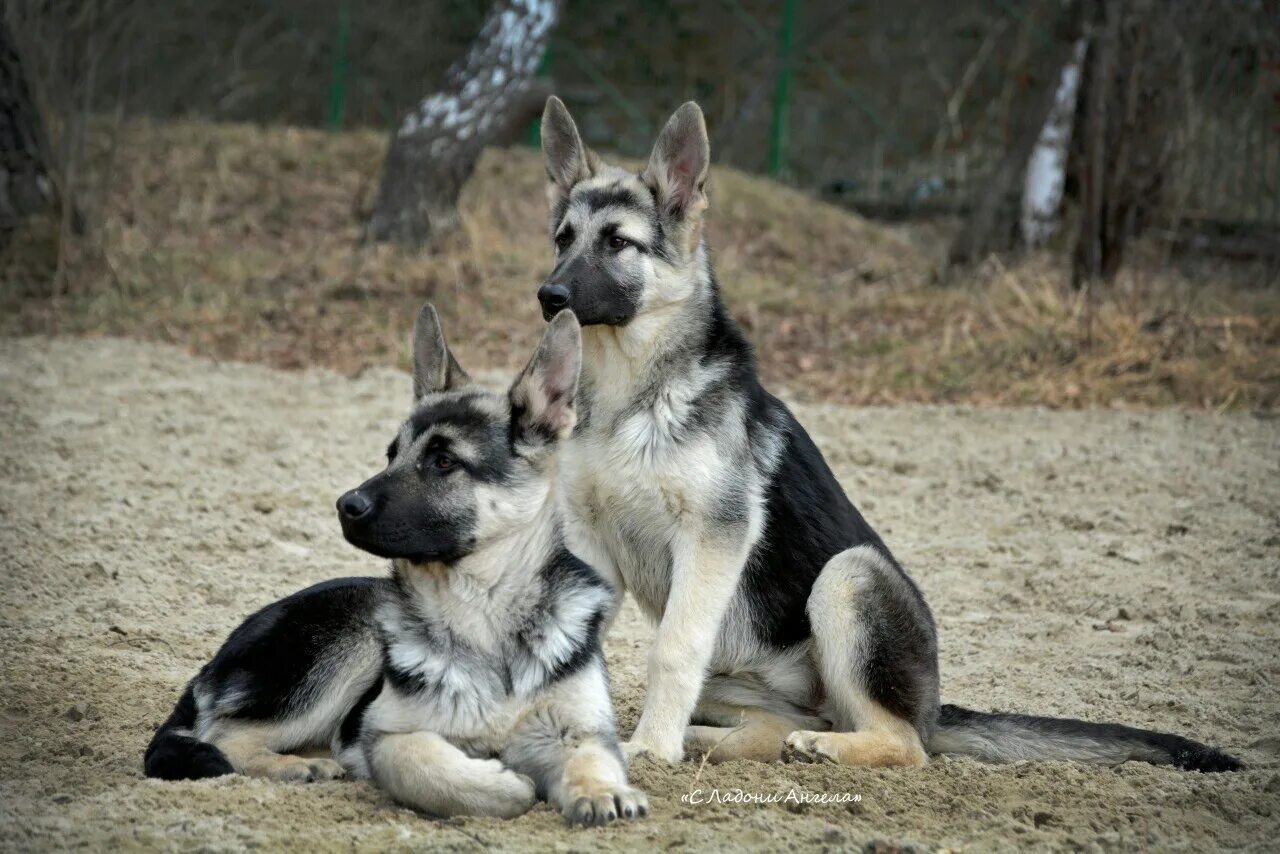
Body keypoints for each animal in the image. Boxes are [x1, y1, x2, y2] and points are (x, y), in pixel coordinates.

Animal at [145, 307, 650, 829]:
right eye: (392, 456)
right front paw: (503, 786)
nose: (345, 505)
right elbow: (429, 766)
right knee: (223, 736)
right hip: (349, 648)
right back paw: (295, 767)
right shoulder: (385, 736)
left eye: (443, 461)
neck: (484, 613)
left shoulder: (584, 730)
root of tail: (218, 657)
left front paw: (602, 791)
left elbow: (592, 758)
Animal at [529, 95, 1239, 773]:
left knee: (901, 744)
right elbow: (573, 643)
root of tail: (933, 708)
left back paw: (817, 748)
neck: (632, 394)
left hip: (848, 577)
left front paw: (649, 749)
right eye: (562, 238)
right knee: (777, 728)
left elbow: (672, 649)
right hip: (738, 680)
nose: (548, 295)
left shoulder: (711, 538)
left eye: (618, 243)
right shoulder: (589, 541)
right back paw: (719, 741)